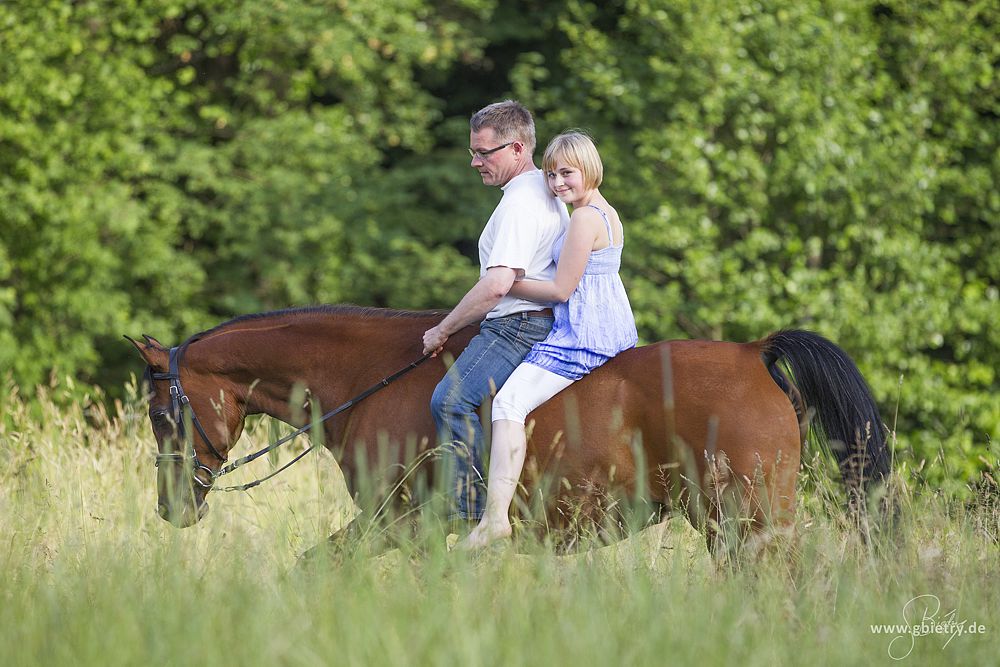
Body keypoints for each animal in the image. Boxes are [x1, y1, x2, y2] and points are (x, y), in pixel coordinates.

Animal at [127, 306, 892, 552]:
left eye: (163, 415)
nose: (170, 507)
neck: (370, 376)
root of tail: (752, 352)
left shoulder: (396, 523)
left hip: (747, 520)